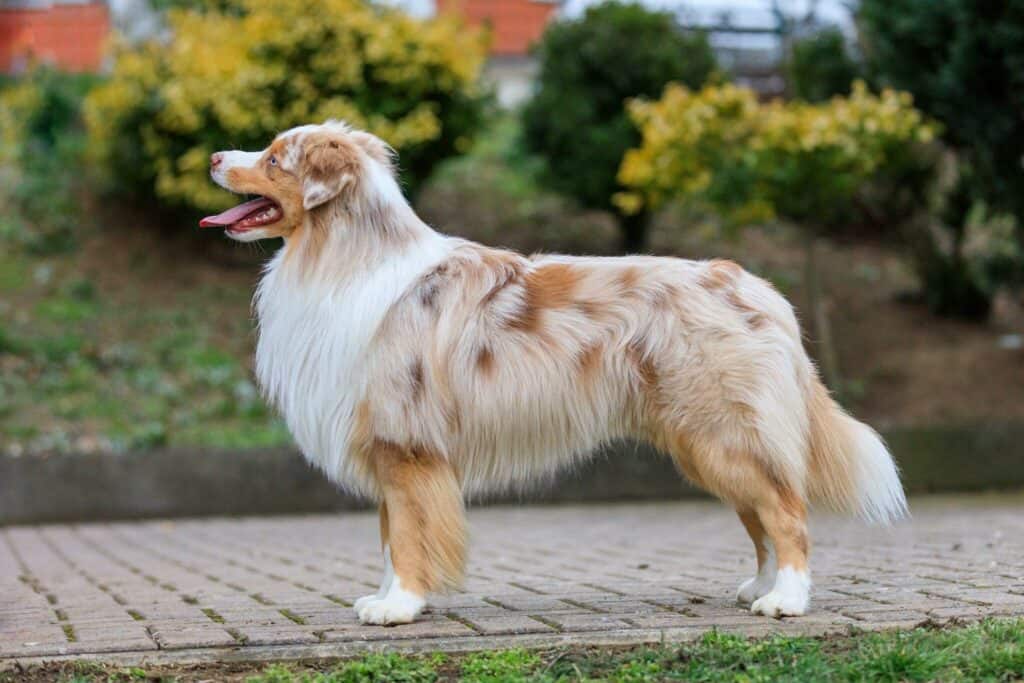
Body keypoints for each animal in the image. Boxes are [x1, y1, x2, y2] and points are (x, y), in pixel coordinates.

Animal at [199, 121, 905, 626]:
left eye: (273, 159)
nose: (211, 155)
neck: (343, 258)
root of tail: (757, 289)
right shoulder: (387, 442)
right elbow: (391, 534)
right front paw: (392, 597)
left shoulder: (406, 441)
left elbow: (408, 534)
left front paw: (399, 606)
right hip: (706, 442)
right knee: (760, 514)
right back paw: (758, 586)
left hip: (723, 432)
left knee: (786, 510)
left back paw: (786, 599)